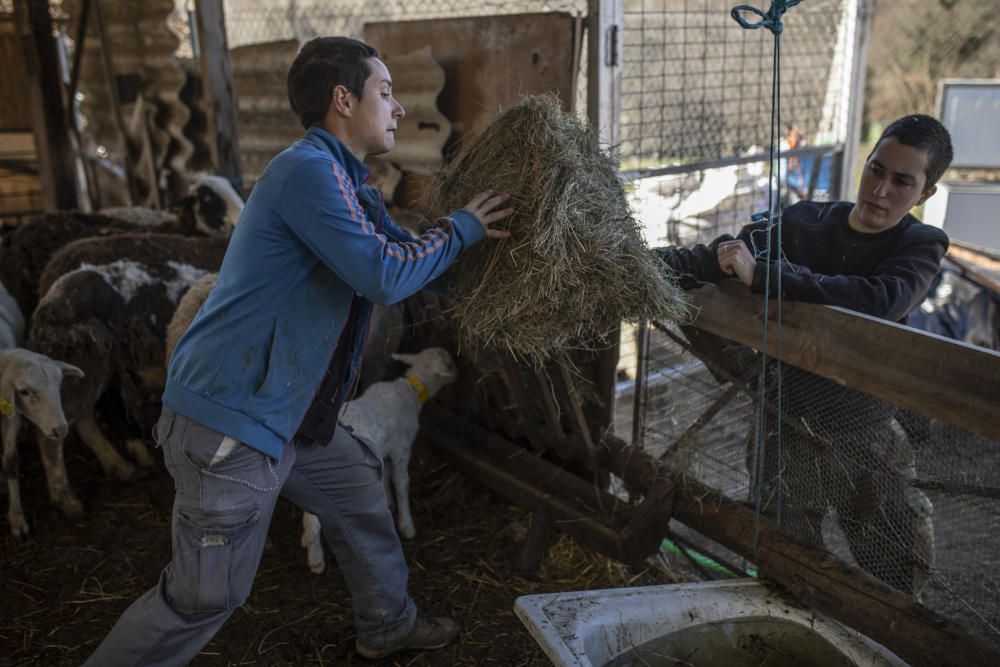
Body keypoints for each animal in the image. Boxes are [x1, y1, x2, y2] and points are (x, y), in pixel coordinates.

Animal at [1, 282, 84, 536]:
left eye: (59, 385)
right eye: (24, 392)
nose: (60, 430)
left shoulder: (11, 415)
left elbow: (11, 461)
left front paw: (17, 519)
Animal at [298, 344, 458, 576]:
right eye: (450, 364)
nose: (459, 372)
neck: (410, 389)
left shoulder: (384, 449)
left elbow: (386, 475)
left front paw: (389, 503)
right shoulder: (402, 447)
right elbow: (401, 482)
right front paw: (407, 524)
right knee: (314, 520)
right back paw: (317, 560)